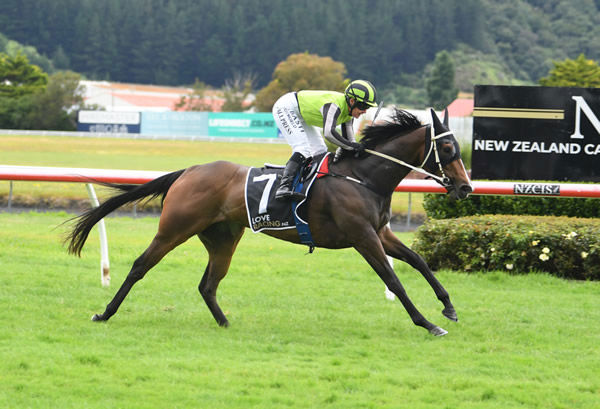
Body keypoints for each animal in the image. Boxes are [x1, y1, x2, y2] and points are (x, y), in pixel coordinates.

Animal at [67, 107, 474, 334]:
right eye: (448, 147)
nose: (466, 187)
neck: (363, 176)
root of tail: (189, 171)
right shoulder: (362, 236)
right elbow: (393, 279)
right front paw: (428, 323)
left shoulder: (381, 233)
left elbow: (418, 261)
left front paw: (449, 307)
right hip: (174, 228)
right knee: (140, 266)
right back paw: (105, 313)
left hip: (223, 237)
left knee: (208, 284)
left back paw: (226, 323)